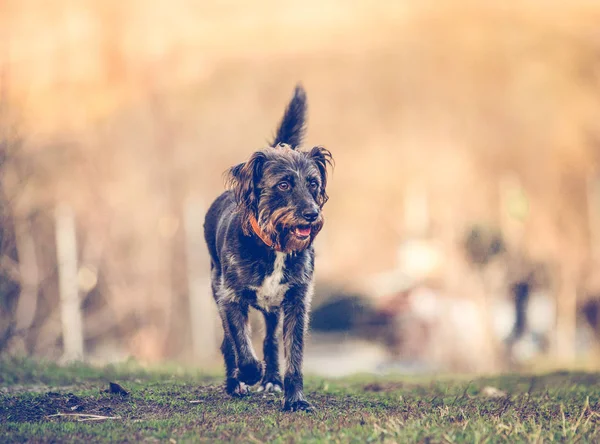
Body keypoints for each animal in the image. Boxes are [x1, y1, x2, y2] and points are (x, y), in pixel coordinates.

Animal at [203, 85, 332, 412]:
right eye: (284, 185)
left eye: (313, 183)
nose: (312, 214)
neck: (275, 245)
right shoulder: (230, 297)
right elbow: (240, 344)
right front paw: (249, 374)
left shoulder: (297, 300)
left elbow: (294, 356)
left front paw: (295, 398)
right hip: (217, 287)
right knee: (228, 343)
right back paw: (236, 382)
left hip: (274, 310)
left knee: (271, 341)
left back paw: (272, 378)